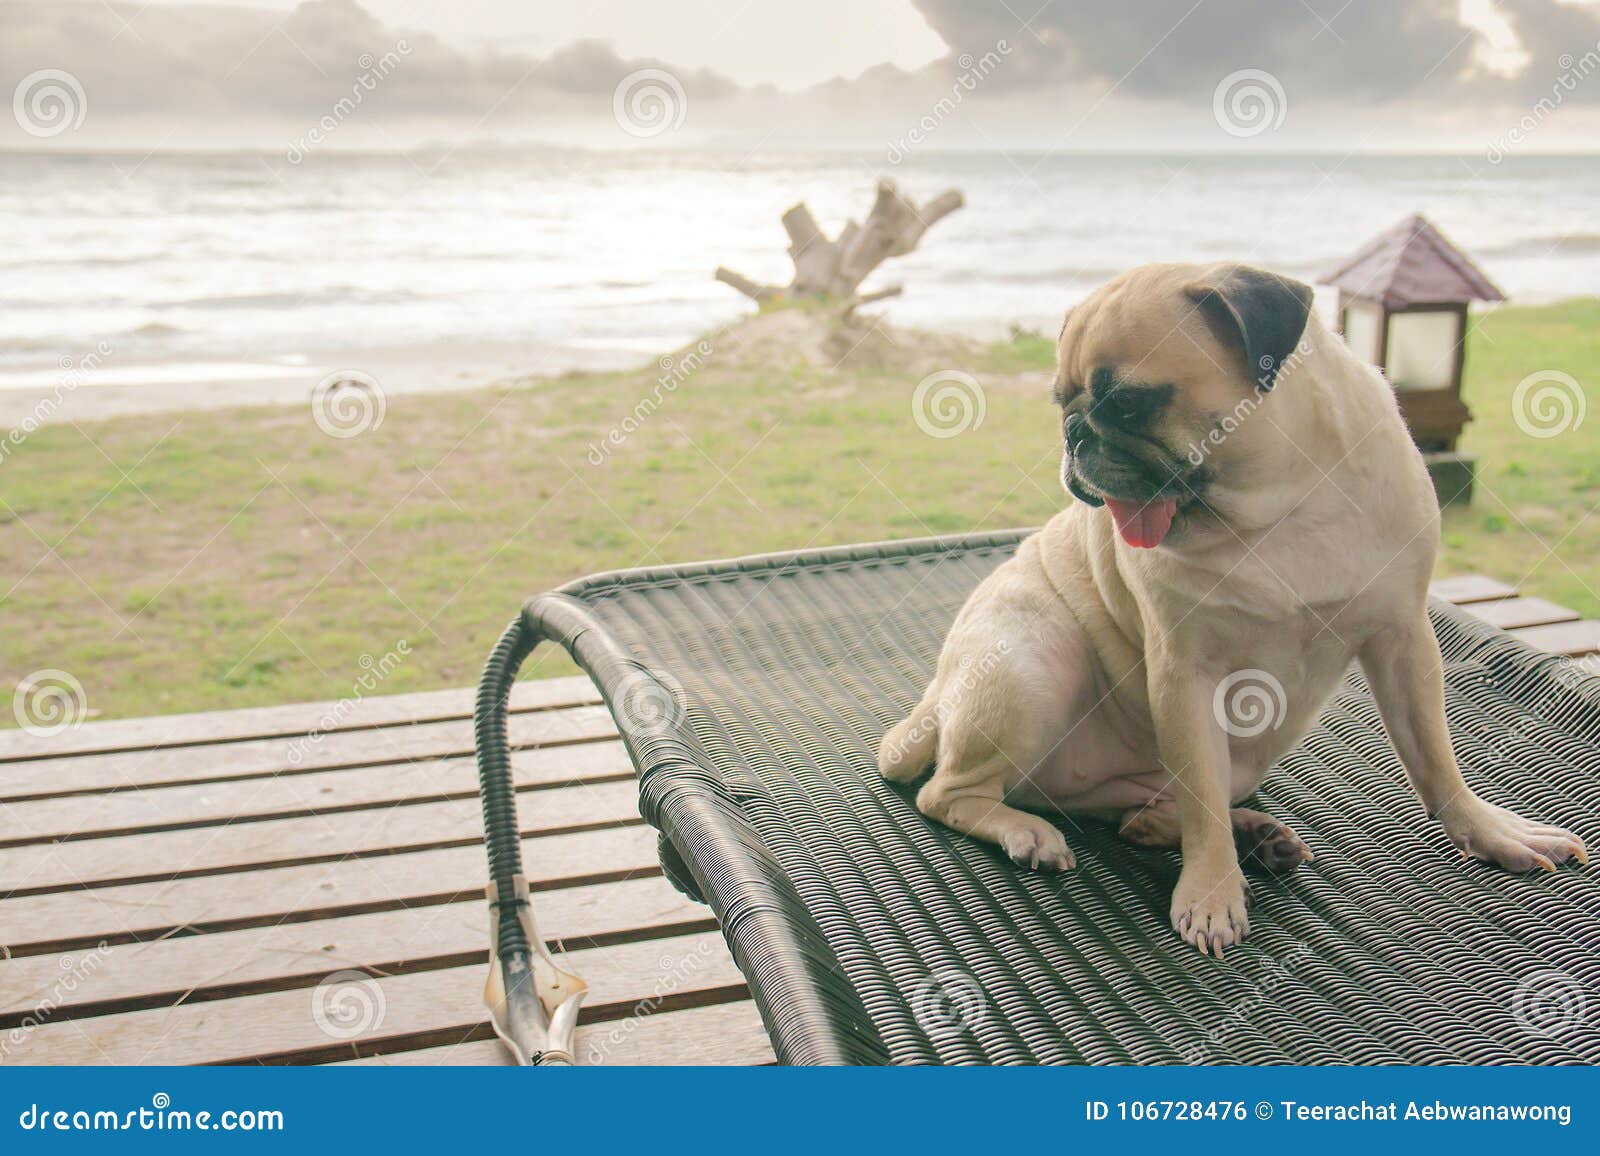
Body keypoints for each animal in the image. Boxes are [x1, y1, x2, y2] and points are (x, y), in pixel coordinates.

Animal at [876, 260, 1587, 954]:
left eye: (1127, 402)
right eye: (1062, 403)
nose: (1075, 434)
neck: (1280, 506)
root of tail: (936, 701)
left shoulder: (1403, 638)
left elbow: (1436, 760)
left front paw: (1488, 831)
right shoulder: (1185, 676)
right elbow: (1202, 802)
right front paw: (1213, 891)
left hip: (1227, 760)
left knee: (1149, 813)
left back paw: (1244, 832)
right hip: (1032, 668)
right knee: (949, 794)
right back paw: (1032, 833)